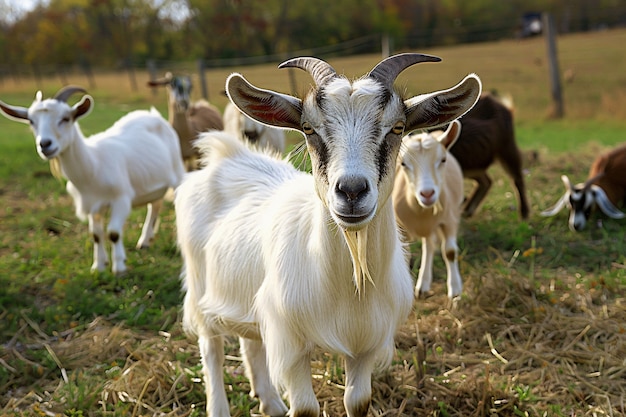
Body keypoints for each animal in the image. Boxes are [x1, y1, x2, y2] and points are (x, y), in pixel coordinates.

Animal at [0, 86, 185, 274]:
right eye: (31, 121)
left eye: (66, 118)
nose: (45, 144)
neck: (93, 165)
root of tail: (154, 115)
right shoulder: (92, 205)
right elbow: (96, 235)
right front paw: (99, 266)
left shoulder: (121, 198)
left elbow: (113, 232)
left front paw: (119, 267)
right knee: (155, 205)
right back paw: (145, 241)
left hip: (178, 172)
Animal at [392, 120, 466, 300]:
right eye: (403, 164)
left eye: (443, 160)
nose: (427, 194)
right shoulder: (400, 226)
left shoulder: (450, 220)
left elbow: (450, 251)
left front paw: (455, 291)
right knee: (429, 245)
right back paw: (422, 285)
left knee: (430, 245)